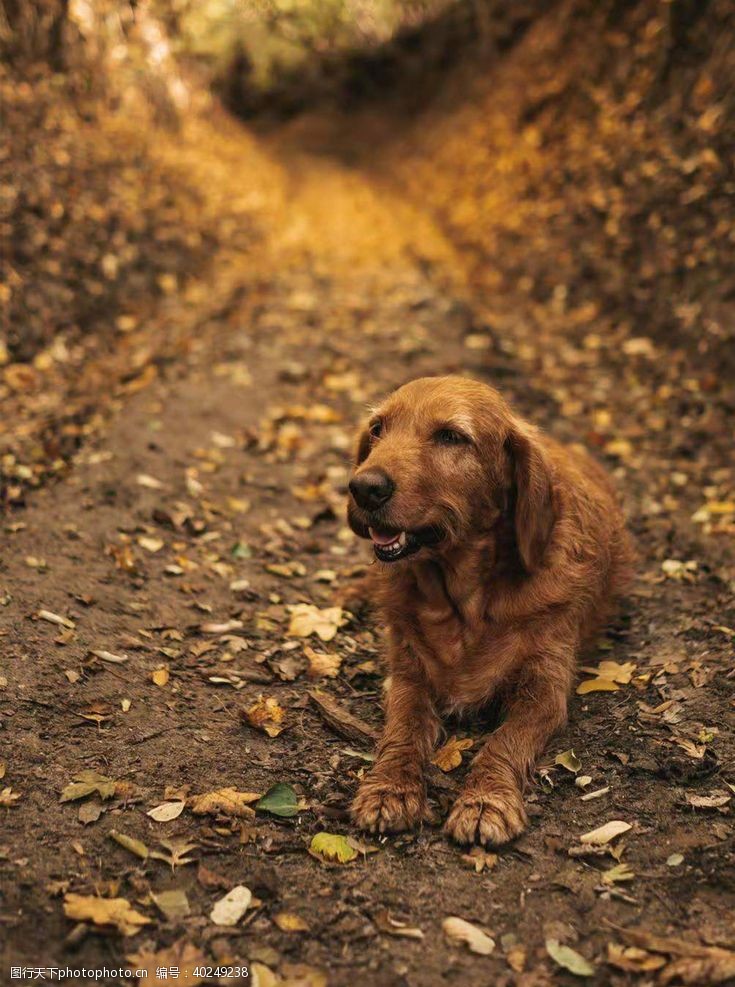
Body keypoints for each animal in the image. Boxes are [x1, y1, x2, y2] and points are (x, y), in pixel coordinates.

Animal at [348, 374, 636, 844]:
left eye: (451, 436)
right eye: (377, 429)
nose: (363, 488)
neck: (463, 601)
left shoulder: (544, 691)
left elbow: (503, 743)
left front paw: (485, 801)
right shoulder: (407, 677)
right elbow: (403, 730)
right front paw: (389, 788)